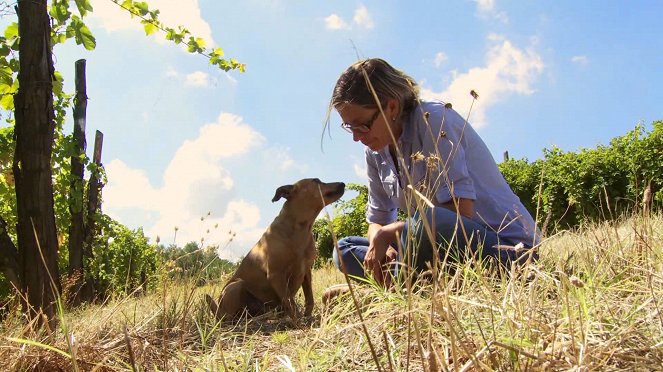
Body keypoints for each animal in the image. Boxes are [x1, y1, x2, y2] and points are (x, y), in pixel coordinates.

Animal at [205, 179, 344, 322]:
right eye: (316, 181)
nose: (343, 183)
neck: (300, 229)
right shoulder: (276, 275)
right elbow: (291, 303)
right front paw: (300, 321)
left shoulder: (306, 271)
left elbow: (309, 298)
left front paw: (308, 316)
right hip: (235, 286)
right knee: (227, 316)